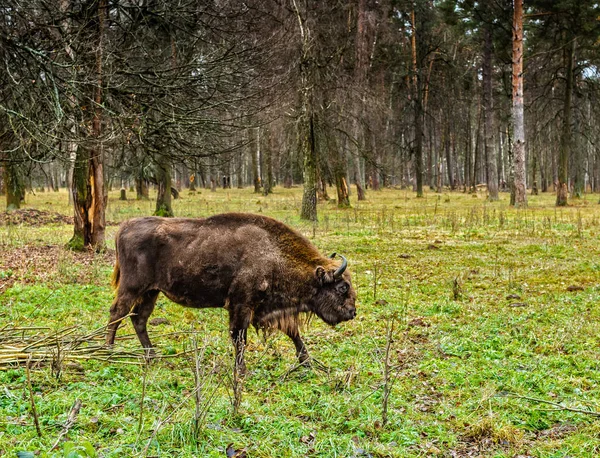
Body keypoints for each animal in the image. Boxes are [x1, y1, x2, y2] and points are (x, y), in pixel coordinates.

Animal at [106, 213, 356, 374]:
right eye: (342, 287)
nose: (352, 312)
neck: (273, 254)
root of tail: (124, 227)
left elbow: (293, 333)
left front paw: (307, 362)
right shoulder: (241, 306)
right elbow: (239, 338)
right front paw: (241, 370)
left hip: (152, 292)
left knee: (139, 318)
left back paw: (152, 356)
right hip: (132, 288)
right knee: (117, 313)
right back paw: (108, 352)